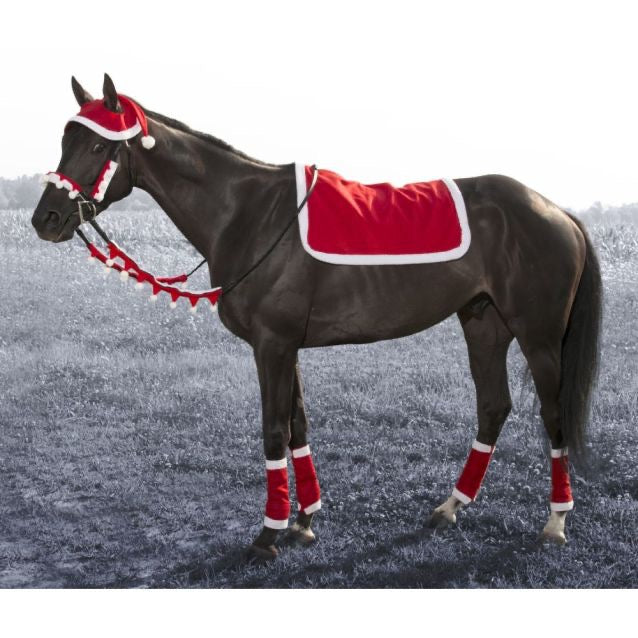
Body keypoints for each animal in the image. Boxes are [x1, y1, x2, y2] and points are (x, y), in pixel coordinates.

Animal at [30, 74, 604, 560]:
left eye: (98, 147)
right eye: (65, 141)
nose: (46, 219)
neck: (248, 214)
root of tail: (556, 209)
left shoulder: (273, 345)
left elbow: (272, 431)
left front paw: (268, 534)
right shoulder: (287, 346)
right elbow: (297, 426)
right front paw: (304, 522)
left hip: (538, 337)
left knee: (551, 413)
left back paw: (555, 521)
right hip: (483, 324)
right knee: (493, 407)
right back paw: (451, 506)